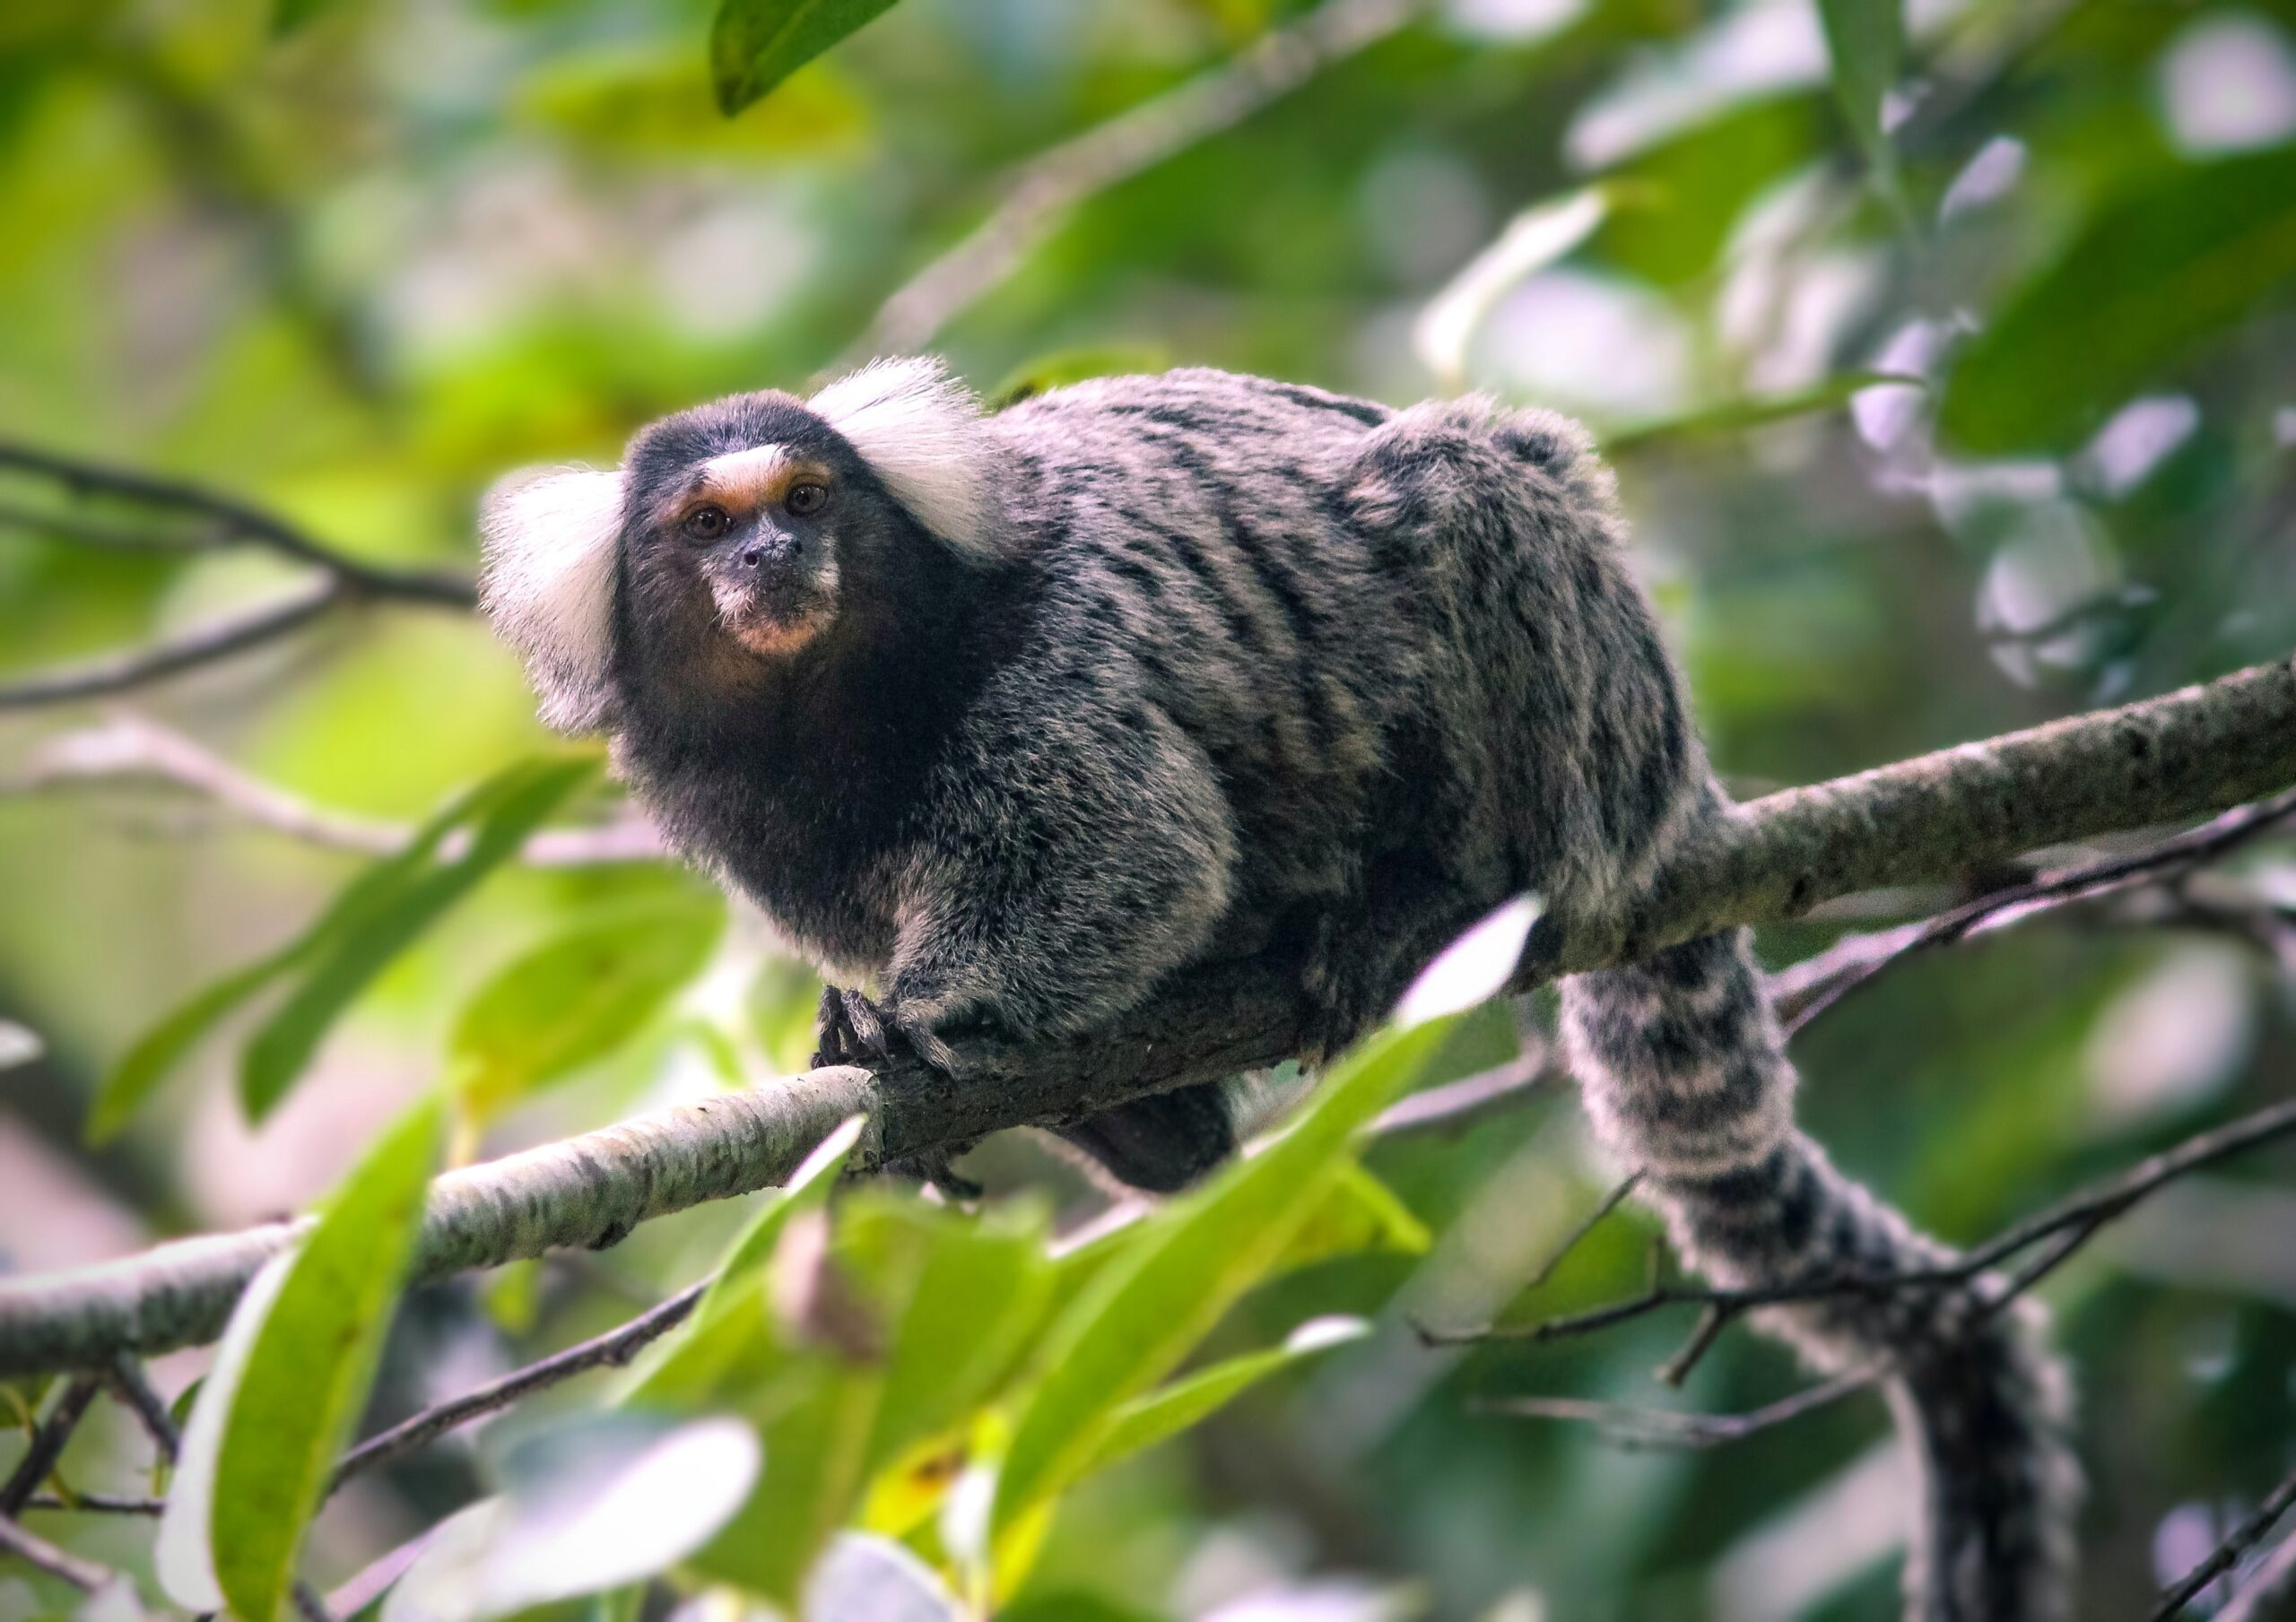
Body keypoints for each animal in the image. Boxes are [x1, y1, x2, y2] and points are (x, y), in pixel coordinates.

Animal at [479, 358, 2077, 1620]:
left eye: (806, 499)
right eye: (704, 526)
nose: (769, 561)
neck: (835, 710)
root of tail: (1676, 778)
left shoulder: (1055, 664)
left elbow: (1137, 851)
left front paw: (930, 1019)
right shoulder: (760, 822)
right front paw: (992, 1076)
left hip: (1591, 711)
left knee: (1471, 488)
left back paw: (1451, 893)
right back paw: (1155, 1125)